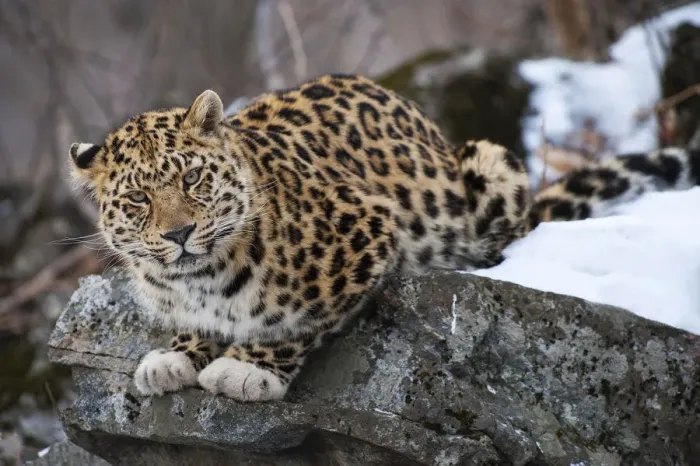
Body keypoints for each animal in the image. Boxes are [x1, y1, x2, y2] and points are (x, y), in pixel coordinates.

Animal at [68, 73, 700, 402]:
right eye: (138, 200)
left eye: (193, 180)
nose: (178, 233)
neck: (198, 279)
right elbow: (195, 326)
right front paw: (175, 356)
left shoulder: (367, 234)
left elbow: (296, 322)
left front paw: (247, 369)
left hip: (490, 167)